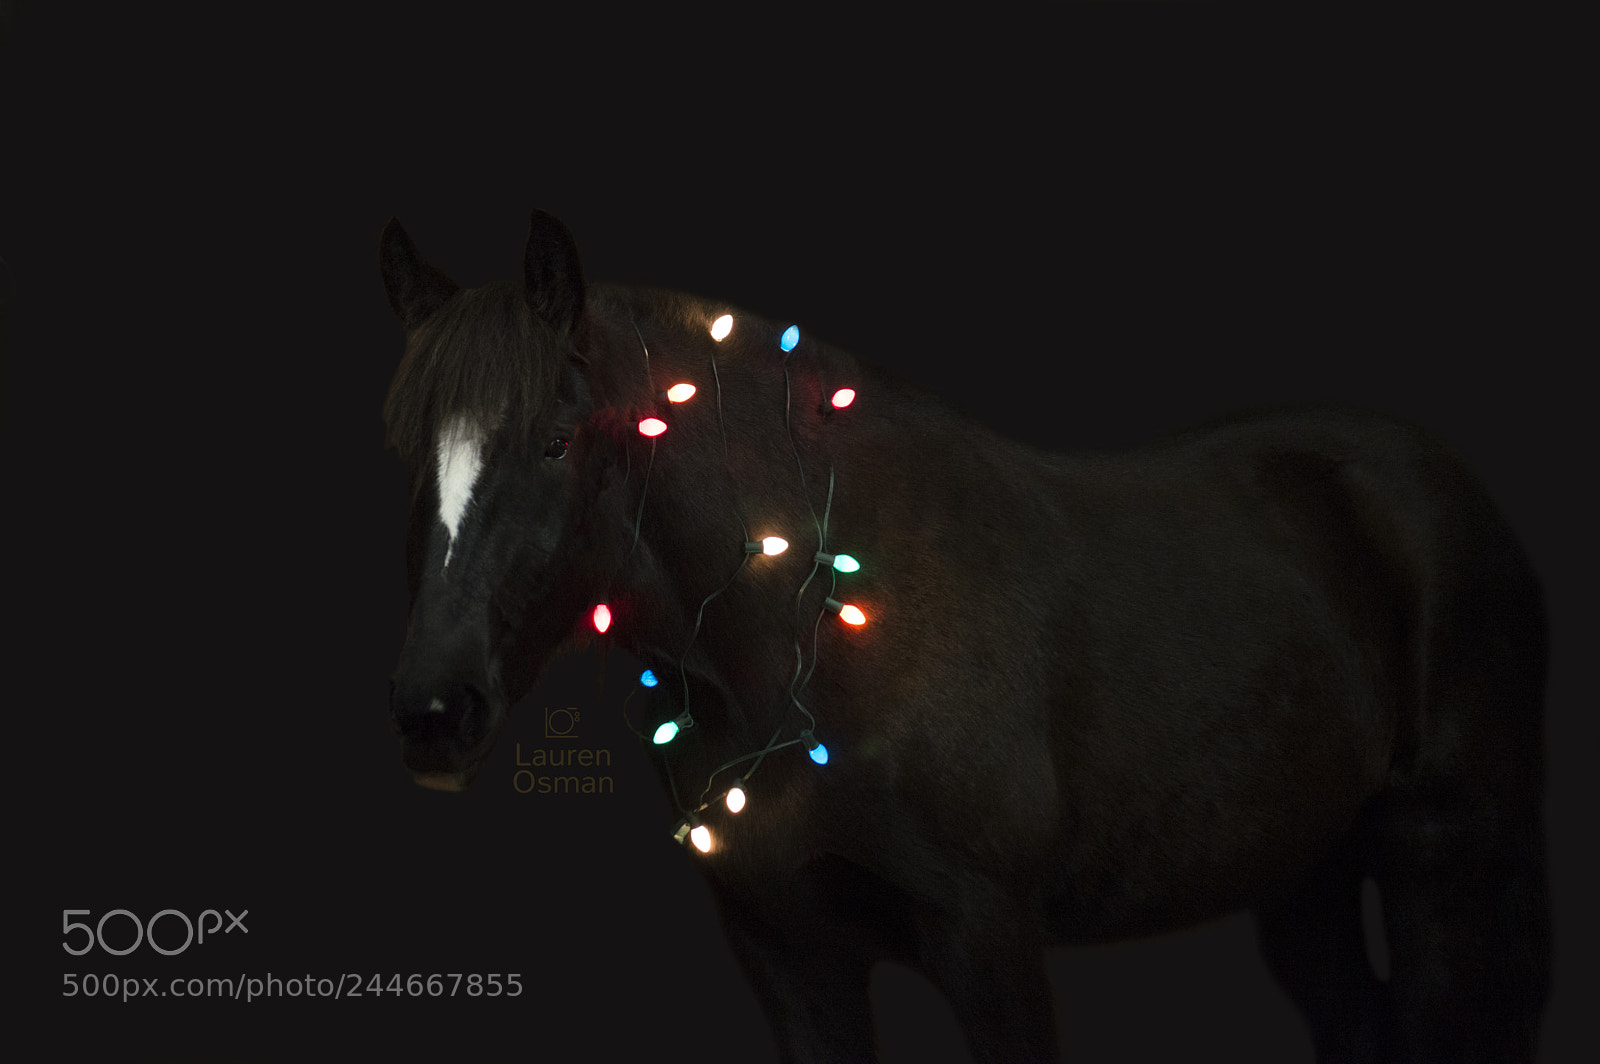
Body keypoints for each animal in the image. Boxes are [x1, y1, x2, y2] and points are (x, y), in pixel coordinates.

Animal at [379, 209, 1549, 1064]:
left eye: (555, 439)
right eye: (404, 448)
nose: (434, 710)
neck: (821, 639)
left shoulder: (990, 944)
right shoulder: (790, 956)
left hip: (1440, 860)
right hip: (1304, 873)